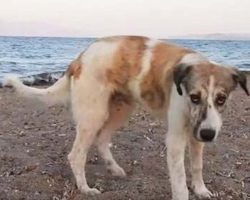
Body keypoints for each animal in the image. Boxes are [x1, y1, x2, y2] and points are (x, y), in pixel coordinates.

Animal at [3, 36, 248, 200]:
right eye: (194, 97)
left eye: (221, 99)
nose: (208, 134)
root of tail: (80, 57)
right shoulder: (177, 139)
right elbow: (179, 181)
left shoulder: (197, 134)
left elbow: (197, 166)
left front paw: (201, 189)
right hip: (94, 115)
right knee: (77, 155)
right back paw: (85, 188)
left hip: (121, 110)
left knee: (102, 140)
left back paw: (114, 169)